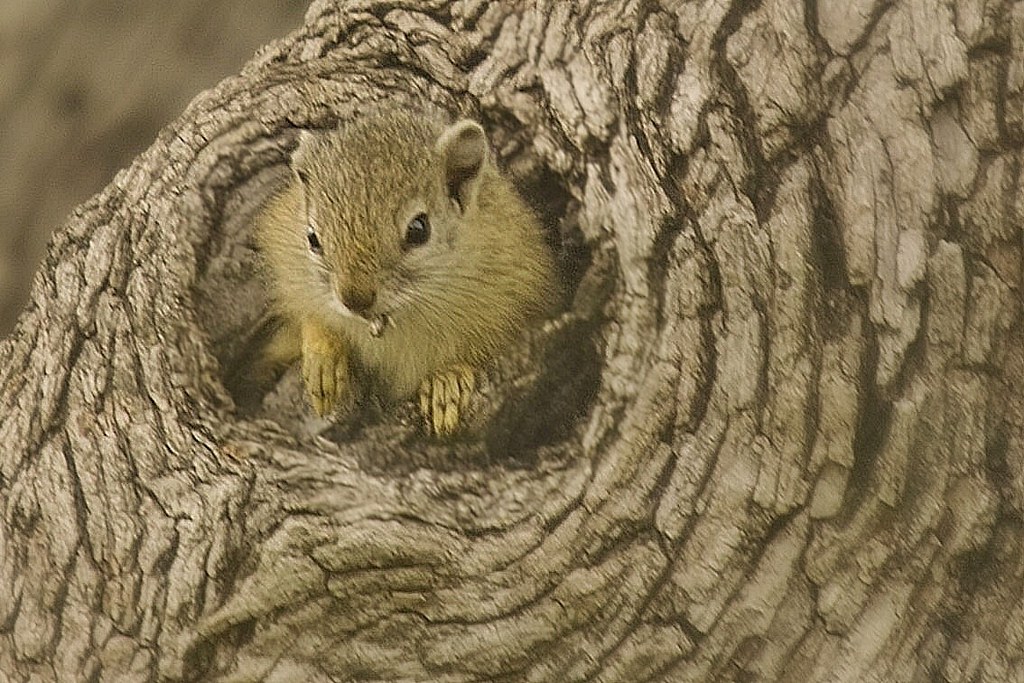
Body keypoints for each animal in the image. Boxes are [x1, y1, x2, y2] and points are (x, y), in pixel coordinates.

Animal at [251, 107, 556, 436]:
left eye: (419, 230)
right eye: (312, 238)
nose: (355, 299)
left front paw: (447, 380)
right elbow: (309, 317)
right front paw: (324, 356)